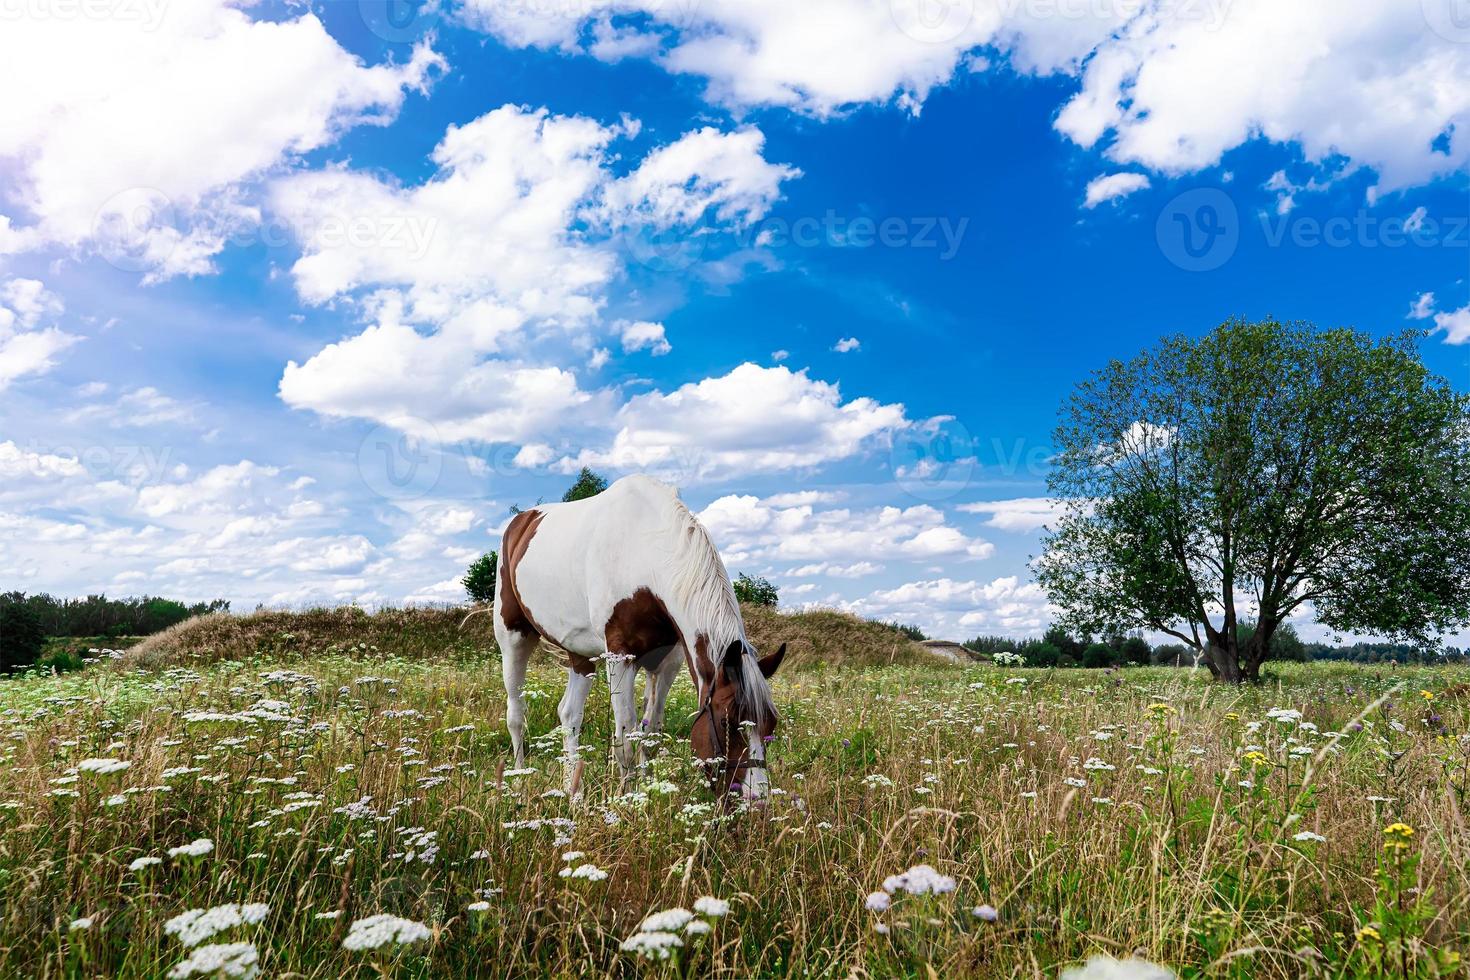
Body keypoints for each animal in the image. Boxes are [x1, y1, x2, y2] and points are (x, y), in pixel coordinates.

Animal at [493, 476, 787, 805]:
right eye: (727, 723)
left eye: (771, 724)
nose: (757, 803)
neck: (645, 554)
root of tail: (521, 522)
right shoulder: (621, 657)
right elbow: (625, 737)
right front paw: (627, 799)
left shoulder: (668, 661)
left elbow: (651, 731)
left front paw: (648, 789)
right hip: (513, 637)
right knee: (516, 714)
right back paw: (518, 782)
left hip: (581, 655)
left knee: (569, 715)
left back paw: (573, 792)